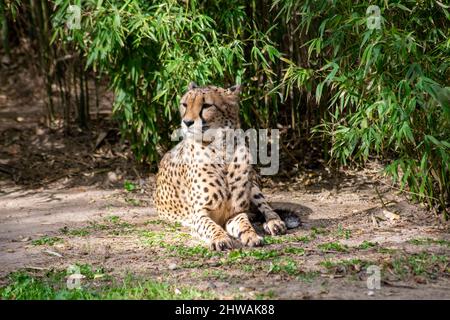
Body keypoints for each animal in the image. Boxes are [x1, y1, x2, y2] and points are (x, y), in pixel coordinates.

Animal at [155, 82, 288, 250]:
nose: (187, 122)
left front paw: (251, 235)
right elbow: (211, 226)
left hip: (254, 187)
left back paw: (274, 223)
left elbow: (244, 223)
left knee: (266, 207)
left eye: (206, 105)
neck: (222, 150)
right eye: (184, 104)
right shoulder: (199, 214)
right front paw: (220, 238)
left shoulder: (234, 213)